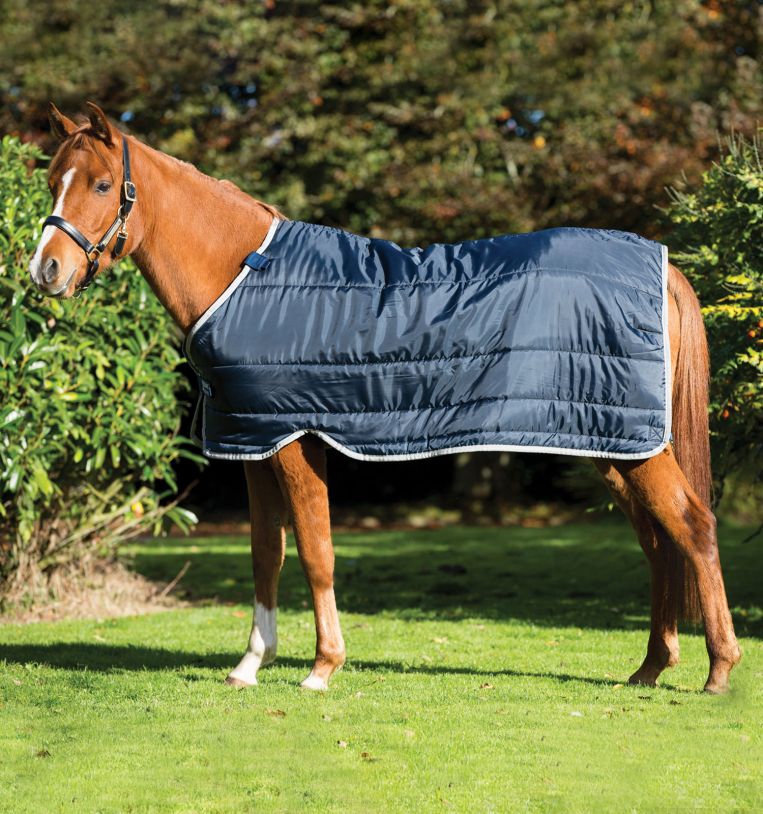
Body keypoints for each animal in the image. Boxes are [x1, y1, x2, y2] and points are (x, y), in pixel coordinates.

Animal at [28, 102, 741, 694]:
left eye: (100, 185)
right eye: (52, 180)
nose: (45, 270)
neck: (244, 275)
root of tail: (661, 266)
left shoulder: (295, 440)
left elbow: (315, 551)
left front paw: (322, 668)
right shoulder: (253, 441)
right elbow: (266, 555)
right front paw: (250, 665)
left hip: (634, 446)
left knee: (695, 528)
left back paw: (717, 671)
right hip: (609, 442)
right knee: (659, 541)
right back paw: (650, 668)